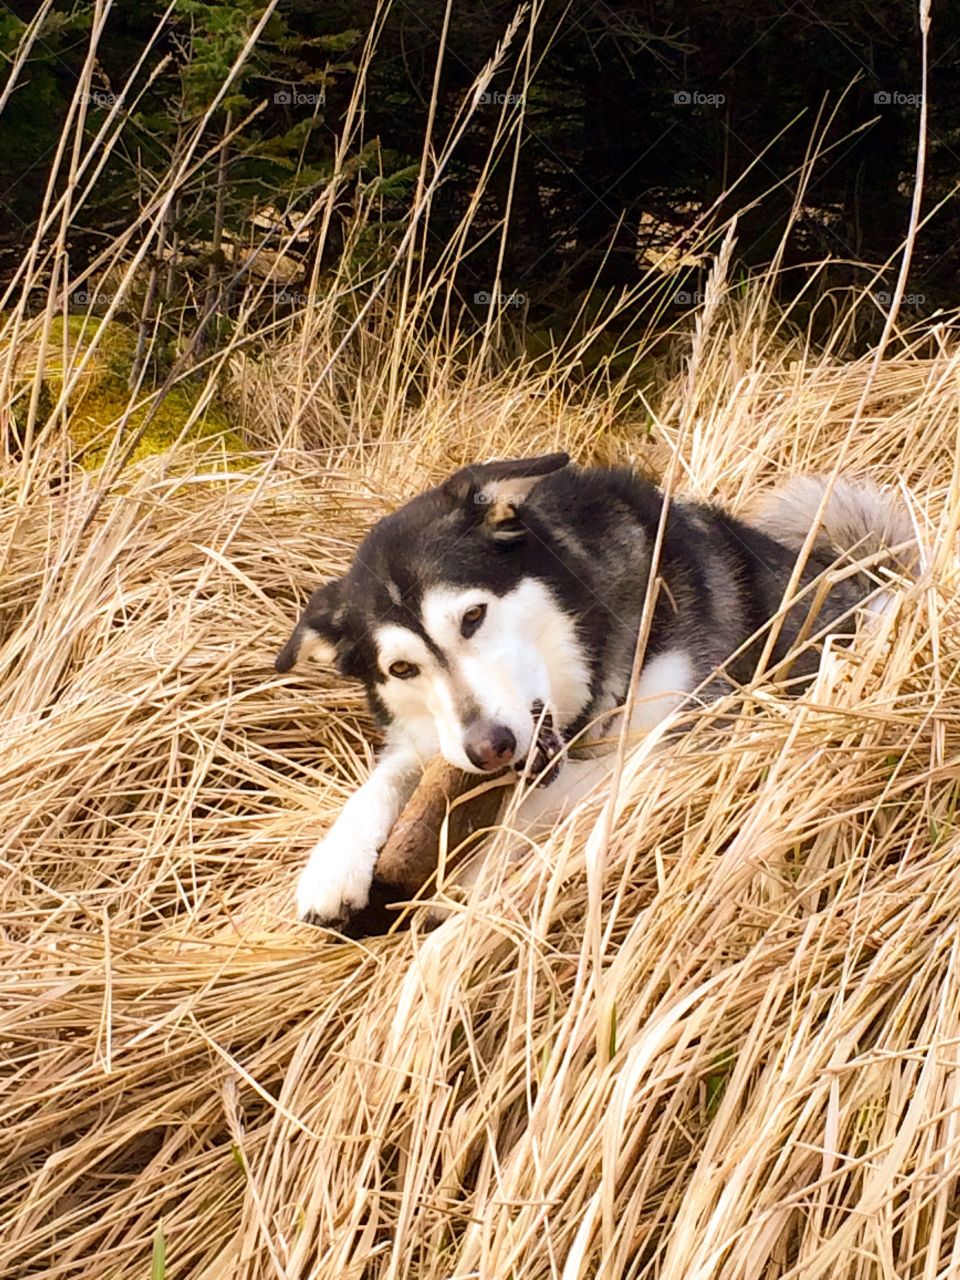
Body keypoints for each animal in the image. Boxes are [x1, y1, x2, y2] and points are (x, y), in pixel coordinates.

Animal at [277, 450, 916, 921]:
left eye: (473, 617)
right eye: (402, 669)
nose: (490, 749)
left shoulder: (685, 738)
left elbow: (542, 800)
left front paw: (473, 871)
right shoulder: (441, 740)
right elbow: (394, 770)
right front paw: (334, 859)